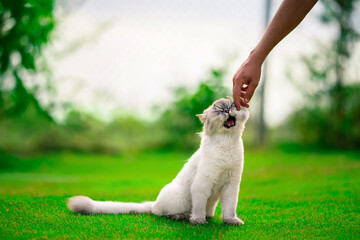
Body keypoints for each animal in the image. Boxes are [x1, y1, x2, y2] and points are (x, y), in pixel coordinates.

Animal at [69, 97, 250, 225]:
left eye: (231, 106)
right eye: (219, 110)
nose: (226, 110)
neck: (226, 143)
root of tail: (154, 203)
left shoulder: (231, 185)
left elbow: (229, 209)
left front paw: (231, 222)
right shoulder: (202, 183)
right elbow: (198, 208)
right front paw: (198, 221)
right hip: (177, 198)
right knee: (161, 213)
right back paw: (181, 216)